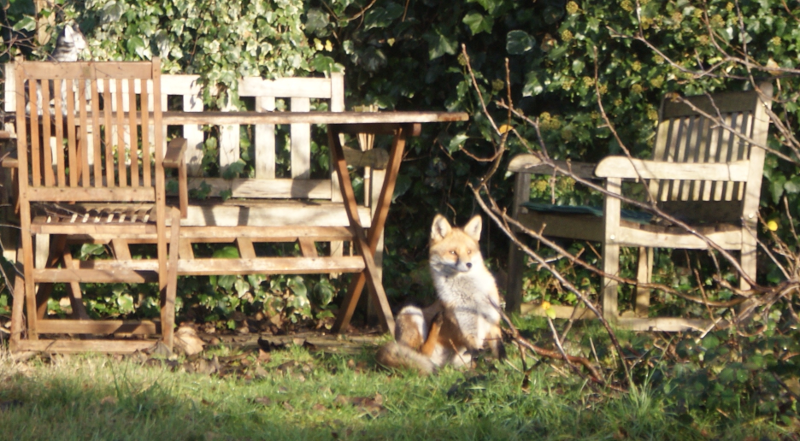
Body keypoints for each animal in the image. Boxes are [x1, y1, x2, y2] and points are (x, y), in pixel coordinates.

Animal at [376, 214, 505, 375]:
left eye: (469, 251)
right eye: (453, 252)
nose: (469, 264)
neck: (471, 297)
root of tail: (442, 365)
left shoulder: (493, 321)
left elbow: (500, 352)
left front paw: (507, 368)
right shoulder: (467, 330)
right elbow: (476, 354)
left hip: (457, 360)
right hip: (410, 312)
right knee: (422, 351)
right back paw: (436, 323)